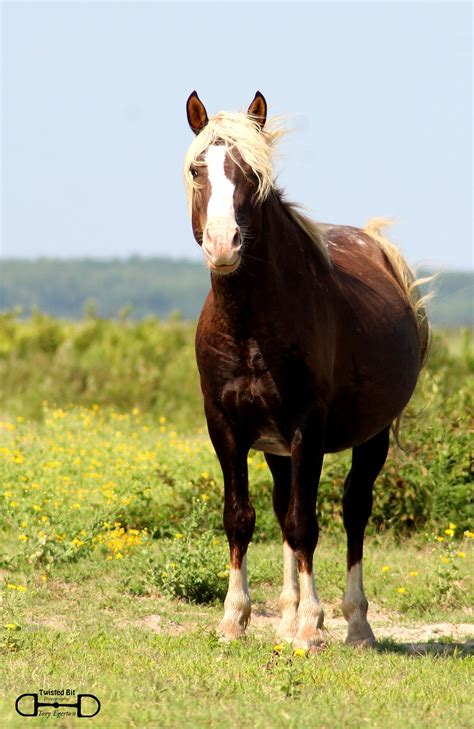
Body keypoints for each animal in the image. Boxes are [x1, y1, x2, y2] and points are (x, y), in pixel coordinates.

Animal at [182, 91, 430, 648]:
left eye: (253, 174)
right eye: (195, 169)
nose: (223, 244)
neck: (250, 326)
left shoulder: (307, 427)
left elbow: (305, 524)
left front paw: (312, 627)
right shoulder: (223, 426)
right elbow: (241, 518)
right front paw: (235, 618)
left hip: (371, 437)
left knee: (354, 511)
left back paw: (356, 624)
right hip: (275, 447)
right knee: (280, 506)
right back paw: (287, 613)